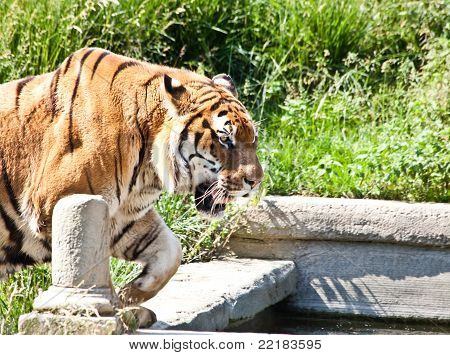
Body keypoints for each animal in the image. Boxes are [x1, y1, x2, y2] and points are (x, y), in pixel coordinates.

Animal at [0, 47, 264, 326]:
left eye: (253, 138)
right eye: (225, 139)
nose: (256, 181)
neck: (148, 171)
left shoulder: (124, 217)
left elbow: (172, 251)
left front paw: (131, 296)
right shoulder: (58, 203)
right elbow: (94, 263)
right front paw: (111, 310)